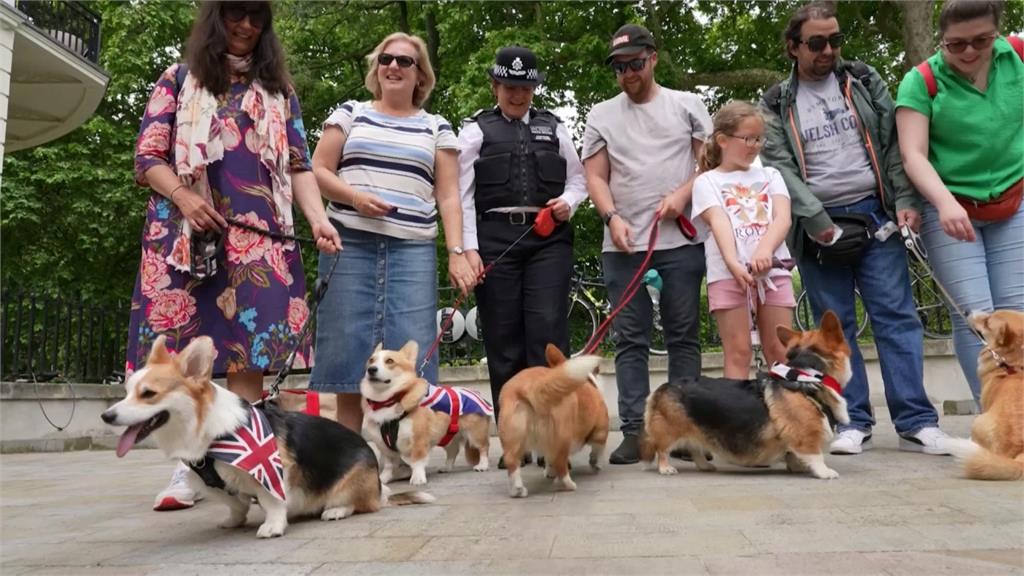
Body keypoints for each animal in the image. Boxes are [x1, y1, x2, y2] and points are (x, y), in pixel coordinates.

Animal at [105, 334, 434, 537]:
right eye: (127, 391)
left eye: (148, 394)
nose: (106, 416)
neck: (210, 432)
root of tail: (379, 487)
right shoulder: (207, 481)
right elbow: (235, 503)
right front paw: (234, 521)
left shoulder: (271, 470)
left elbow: (272, 500)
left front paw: (273, 526)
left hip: (351, 484)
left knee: (361, 504)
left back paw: (336, 510)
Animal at [360, 340, 491, 483]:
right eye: (371, 360)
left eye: (389, 361)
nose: (371, 369)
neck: (388, 400)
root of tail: (475, 393)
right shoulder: (384, 446)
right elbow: (389, 465)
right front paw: (383, 479)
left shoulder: (419, 439)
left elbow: (417, 461)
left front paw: (417, 478)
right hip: (447, 436)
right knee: (453, 451)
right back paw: (446, 467)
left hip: (475, 434)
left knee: (483, 448)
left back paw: (483, 465)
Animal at [497, 342, 606, 496]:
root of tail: (533, 386)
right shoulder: (600, 430)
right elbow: (598, 450)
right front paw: (596, 464)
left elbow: (548, 459)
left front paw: (549, 472)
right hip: (562, 437)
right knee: (561, 463)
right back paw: (569, 485)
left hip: (512, 438)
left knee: (512, 462)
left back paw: (517, 490)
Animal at [643, 311, 851, 477]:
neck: (807, 373)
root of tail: (663, 387)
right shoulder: (805, 435)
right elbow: (815, 456)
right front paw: (825, 472)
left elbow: (792, 454)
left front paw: (797, 467)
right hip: (670, 430)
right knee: (662, 450)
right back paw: (666, 468)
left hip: (697, 431)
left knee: (694, 449)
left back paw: (705, 466)